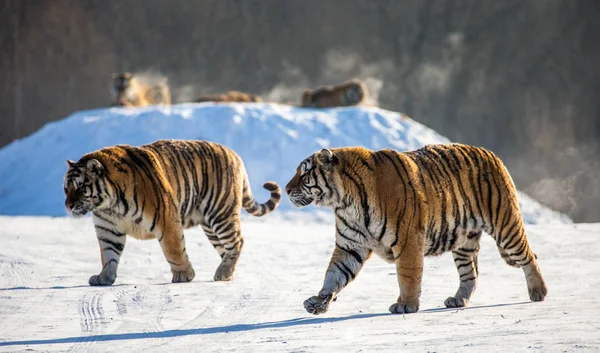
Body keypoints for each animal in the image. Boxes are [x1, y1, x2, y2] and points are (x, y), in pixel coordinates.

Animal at [63, 139, 282, 284]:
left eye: (80, 188)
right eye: (66, 188)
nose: (68, 206)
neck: (109, 205)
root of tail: (233, 153)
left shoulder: (165, 219)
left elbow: (174, 249)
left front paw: (184, 275)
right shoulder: (107, 228)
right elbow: (108, 254)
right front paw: (104, 277)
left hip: (220, 214)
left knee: (237, 241)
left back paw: (223, 273)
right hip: (211, 226)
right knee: (226, 248)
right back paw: (226, 273)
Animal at [286, 143, 548, 314]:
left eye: (304, 173)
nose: (287, 189)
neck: (344, 201)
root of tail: (491, 153)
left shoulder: (407, 240)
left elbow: (407, 275)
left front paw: (406, 305)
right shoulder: (350, 246)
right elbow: (334, 274)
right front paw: (319, 301)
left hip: (505, 225)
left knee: (529, 255)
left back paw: (538, 292)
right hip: (463, 242)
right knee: (470, 274)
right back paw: (457, 300)